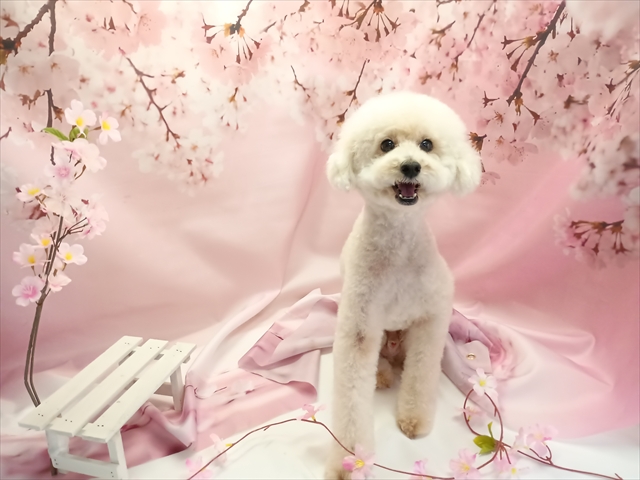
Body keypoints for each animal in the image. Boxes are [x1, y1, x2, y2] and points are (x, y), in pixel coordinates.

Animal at [325, 91, 482, 478]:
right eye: (387, 144)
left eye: (427, 144)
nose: (411, 166)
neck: (397, 246)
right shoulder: (359, 328)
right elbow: (351, 397)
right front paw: (349, 460)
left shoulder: (431, 318)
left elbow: (421, 372)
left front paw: (414, 419)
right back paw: (381, 375)